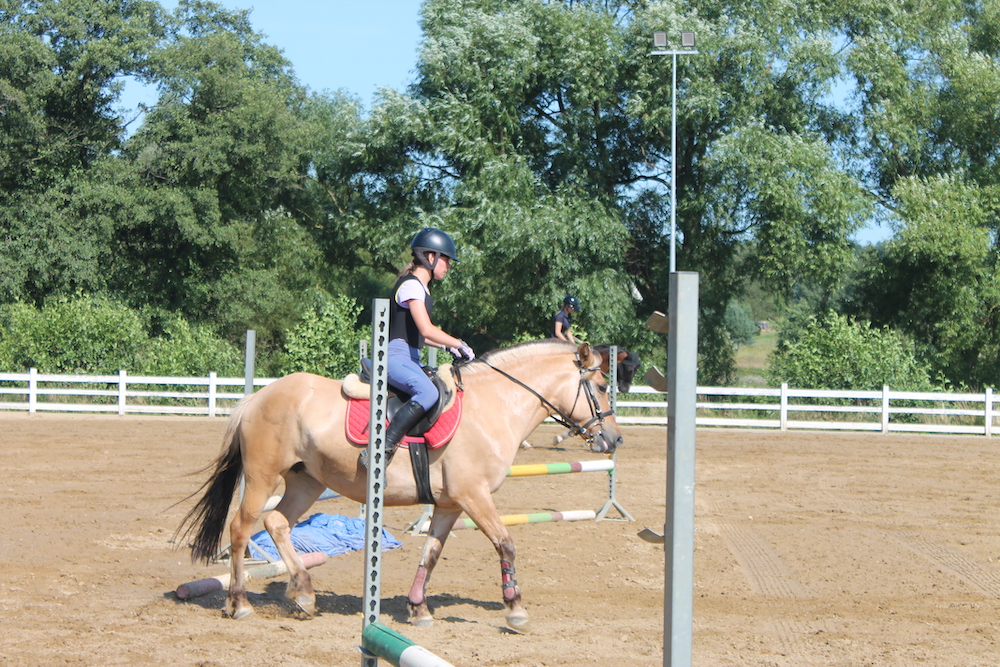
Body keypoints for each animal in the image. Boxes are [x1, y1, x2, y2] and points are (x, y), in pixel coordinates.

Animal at [174, 340, 623, 633]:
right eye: (602, 387)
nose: (615, 440)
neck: (492, 405)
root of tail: (259, 396)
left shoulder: (451, 504)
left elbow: (431, 555)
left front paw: (419, 609)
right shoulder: (474, 496)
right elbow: (506, 544)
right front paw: (514, 609)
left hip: (307, 482)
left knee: (277, 524)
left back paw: (303, 594)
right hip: (263, 477)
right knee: (241, 529)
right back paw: (239, 603)